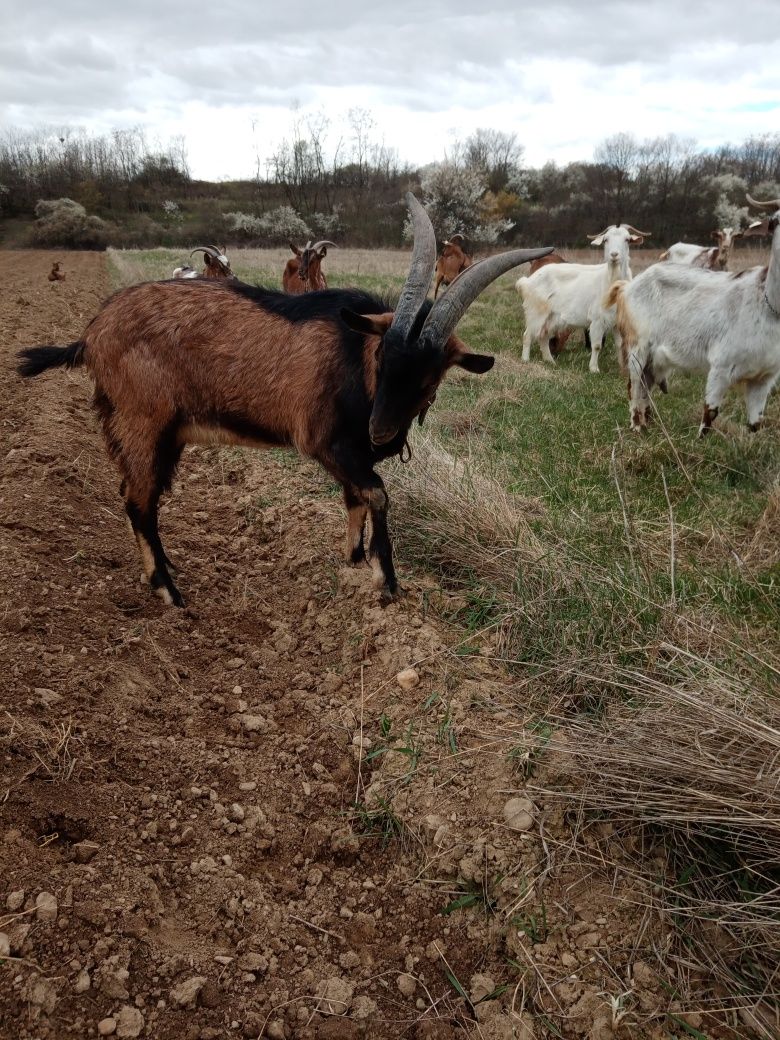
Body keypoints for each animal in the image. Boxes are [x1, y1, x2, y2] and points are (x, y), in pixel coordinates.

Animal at [19, 193, 557, 607]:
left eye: (430, 378)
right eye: (383, 354)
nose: (380, 431)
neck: (354, 364)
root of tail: (92, 335)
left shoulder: (353, 453)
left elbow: (355, 496)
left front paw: (352, 562)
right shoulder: (324, 441)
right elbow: (377, 493)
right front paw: (386, 583)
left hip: (161, 435)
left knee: (142, 497)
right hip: (142, 422)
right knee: (137, 501)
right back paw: (169, 592)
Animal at [515, 223, 648, 374]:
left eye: (627, 239)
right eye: (606, 240)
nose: (614, 255)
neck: (609, 280)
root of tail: (527, 281)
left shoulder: (617, 322)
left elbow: (620, 345)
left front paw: (623, 371)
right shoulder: (597, 320)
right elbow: (596, 346)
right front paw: (594, 369)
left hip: (553, 317)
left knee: (544, 336)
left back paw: (550, 361)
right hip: (535, 312)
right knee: (527, 335)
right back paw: (525, 360)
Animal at [611, 194, 780, 434]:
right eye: (774, 222)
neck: (767, 304)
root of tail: (628, 286)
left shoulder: (764, 378)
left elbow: (755, 424)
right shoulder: (721, 366)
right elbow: (709, 415)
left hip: (653, 357)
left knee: (645, 385)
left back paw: (647, 424)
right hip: (637, 346)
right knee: (634, 384)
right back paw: (636, 426)